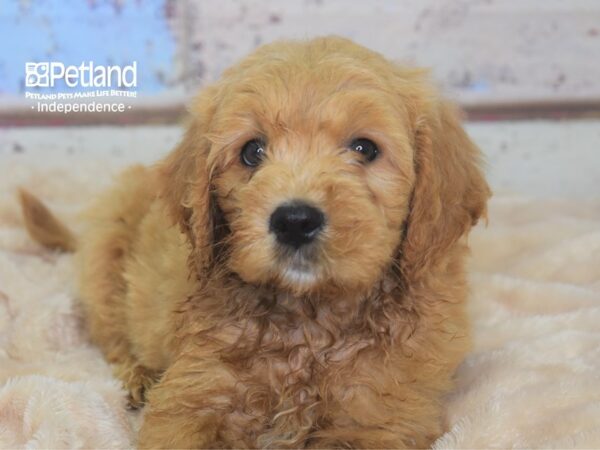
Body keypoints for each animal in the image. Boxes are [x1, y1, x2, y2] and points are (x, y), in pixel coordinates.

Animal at [22, 37, 492, 448]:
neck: (308, 322)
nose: (295, 221)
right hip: (105, 255)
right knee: (114, 335)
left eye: (364, 148)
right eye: (252, 152)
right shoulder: (192, 396)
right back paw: (139, 375)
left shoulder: (381, 417)